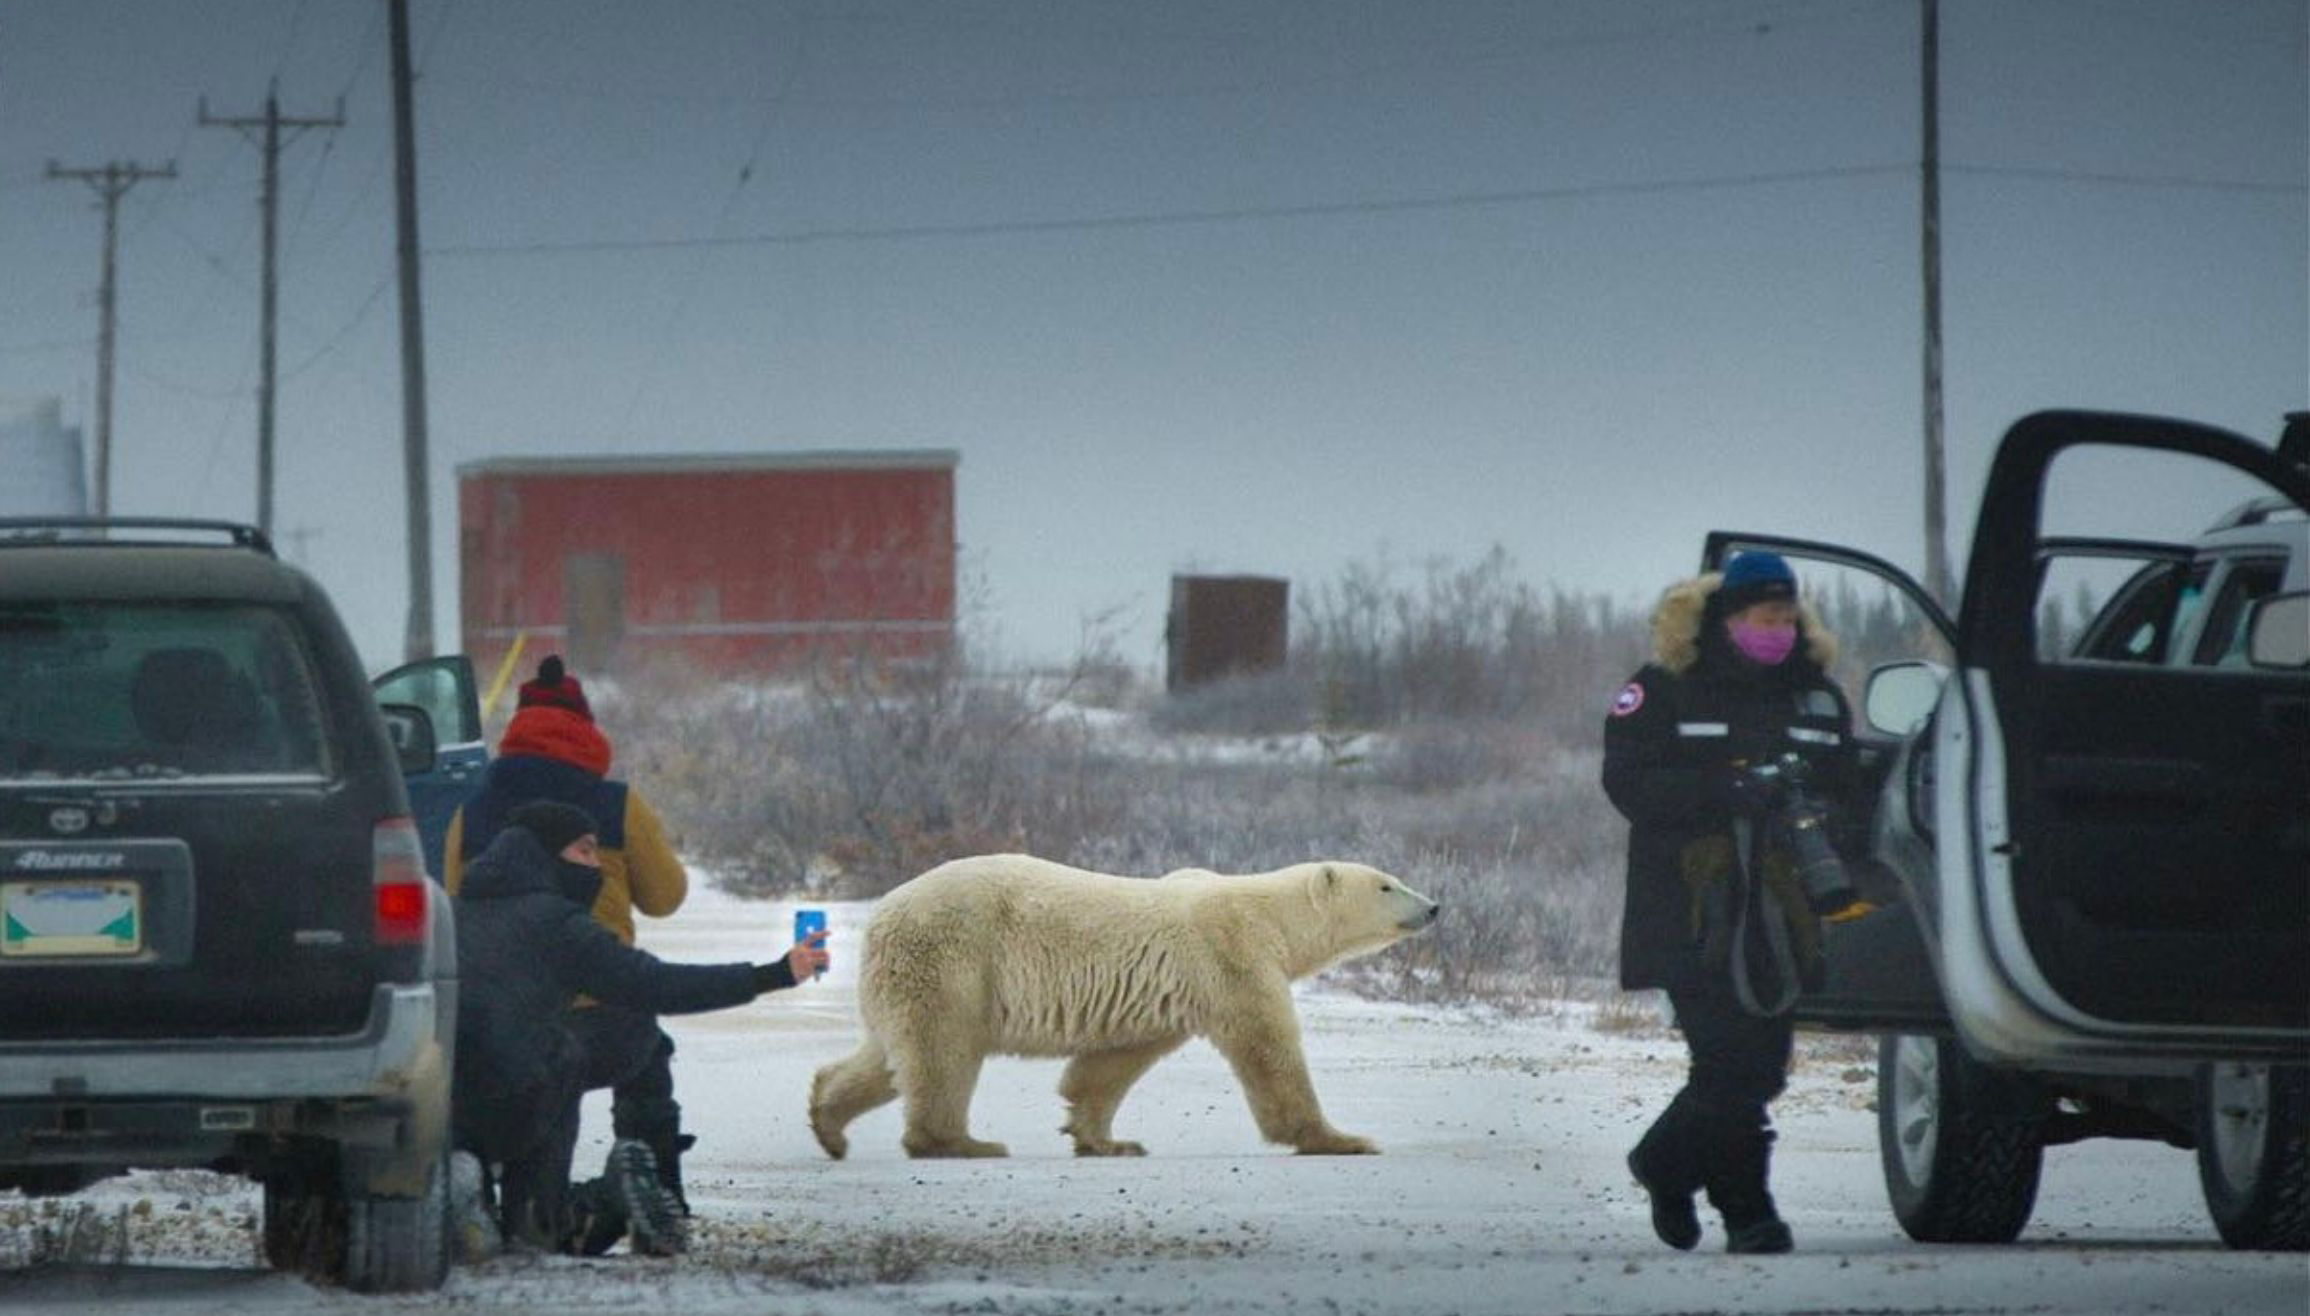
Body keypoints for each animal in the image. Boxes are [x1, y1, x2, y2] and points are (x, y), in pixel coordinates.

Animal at [808, 854, 1440, 1160]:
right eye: (1387, 884)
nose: (1434, 906)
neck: (1269, 916)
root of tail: (882, 912)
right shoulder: (1232, 957)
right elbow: (1268, 1049)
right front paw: (1343, 1139)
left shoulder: (1167, 992)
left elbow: (1112, 1062)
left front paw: (1106, 1140)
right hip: (953, 954)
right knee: (943, 1050)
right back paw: (961, 1143)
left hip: (905, 975)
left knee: (889, 1055)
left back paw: (829, 1123)